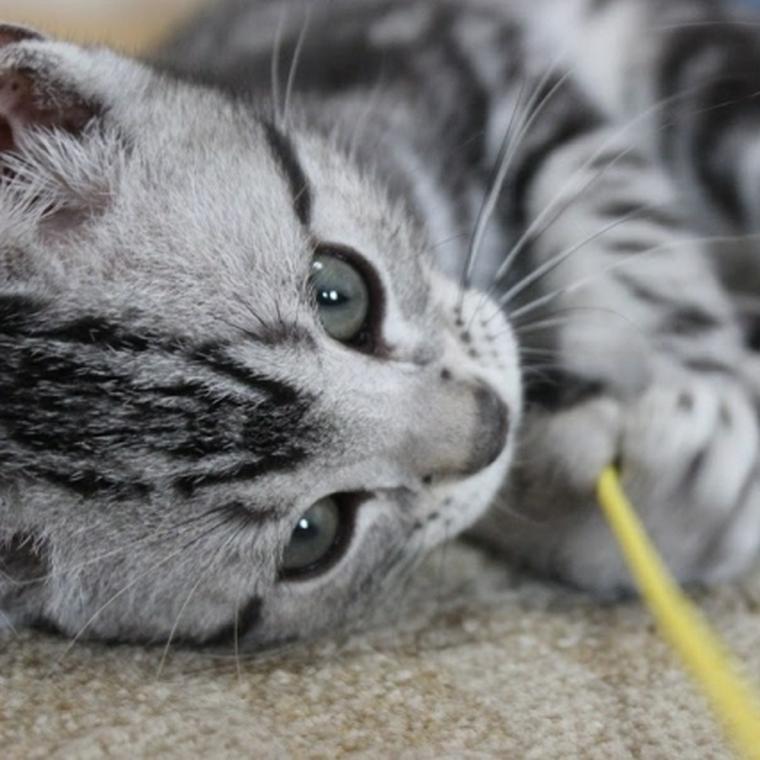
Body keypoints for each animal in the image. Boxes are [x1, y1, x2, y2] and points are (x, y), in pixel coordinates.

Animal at [1, 0, 760, 652]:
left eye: (339, 291)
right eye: (313, 533)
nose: (492, 427)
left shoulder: (474, 61)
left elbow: (629, 230)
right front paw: (652, 512)